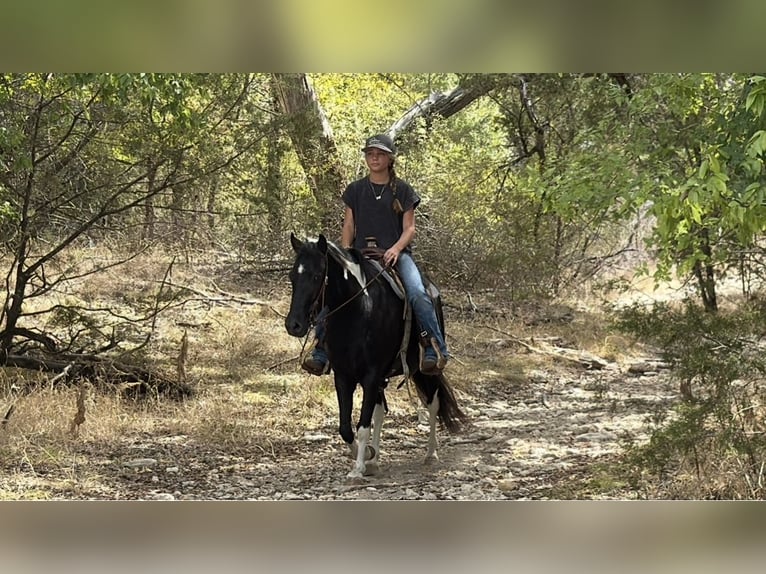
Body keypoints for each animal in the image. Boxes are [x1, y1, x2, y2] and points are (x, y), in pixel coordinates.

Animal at [285, 232, 467, 479]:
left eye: (316, 276)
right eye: (292, 276)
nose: (293, 325)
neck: (360, 311)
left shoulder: (371, 375)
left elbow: (362, 425)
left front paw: (357, 469)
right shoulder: (343, 376)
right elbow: (345, 427)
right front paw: (367, 455)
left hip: (423, 370)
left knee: (433, 403)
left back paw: (431, 454)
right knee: (380, 412)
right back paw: (375, 459)